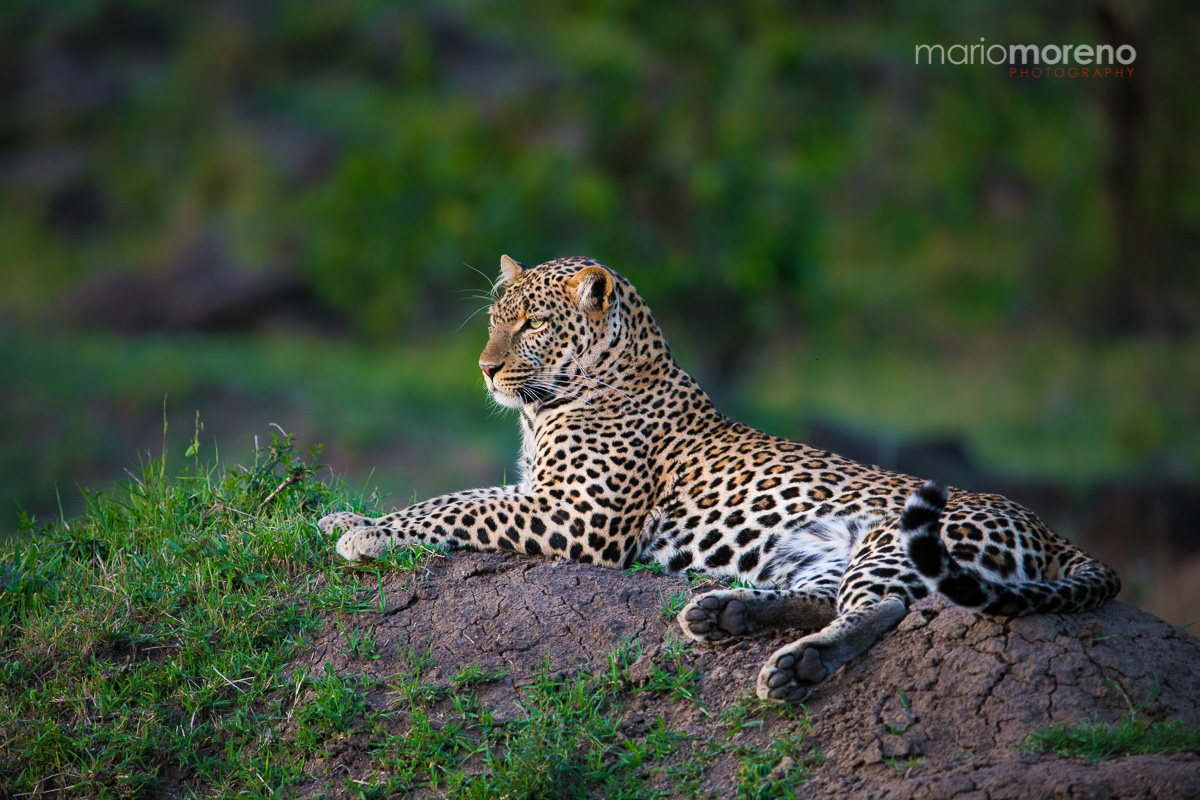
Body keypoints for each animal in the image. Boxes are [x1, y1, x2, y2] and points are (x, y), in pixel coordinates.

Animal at [320, 255, 1120, 702]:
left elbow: (457, 505)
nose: (485, 369)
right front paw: (345, 519)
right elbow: (457, 495)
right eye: (493, 319)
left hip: (898, 539)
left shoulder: (574, 514)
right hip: (818, 550)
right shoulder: (538, 494)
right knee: (824, 597)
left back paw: (798, 667)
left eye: (532, 326)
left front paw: (366, 536)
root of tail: (1046, 528)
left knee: (885, 609)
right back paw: (724, 612)